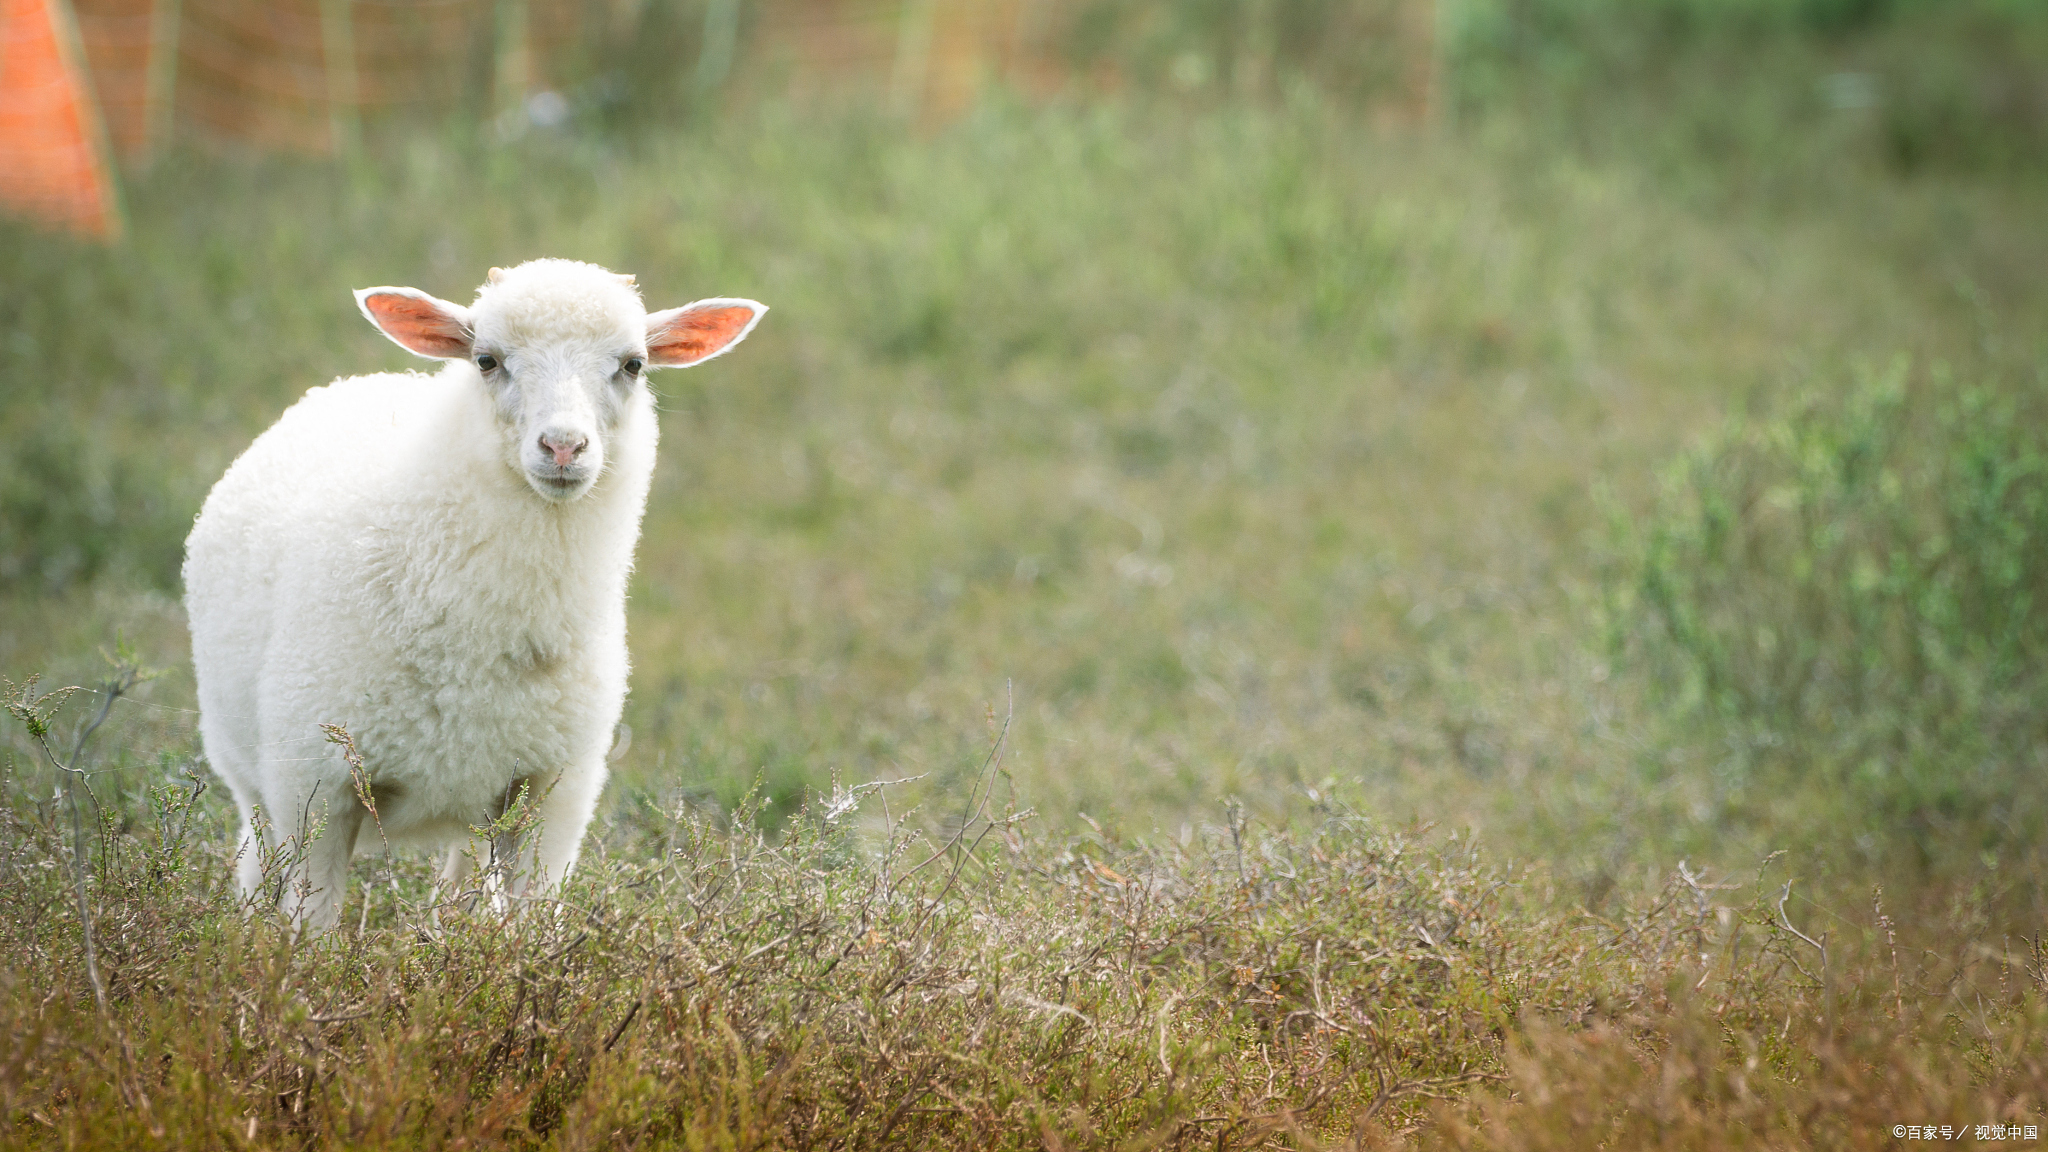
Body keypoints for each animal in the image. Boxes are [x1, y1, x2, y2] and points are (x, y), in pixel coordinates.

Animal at [180, 258, 761, 922]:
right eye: (487, 359)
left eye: (633, 364)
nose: (564, 446)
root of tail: (368, 380)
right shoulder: (316, 783)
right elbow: (312, 928)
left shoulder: (556, 789)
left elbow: (530, 922)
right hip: (254, 778)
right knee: (258, 863)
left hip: (478, 798)